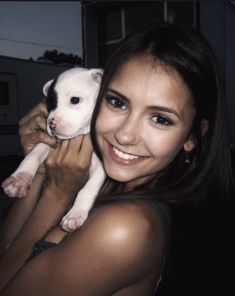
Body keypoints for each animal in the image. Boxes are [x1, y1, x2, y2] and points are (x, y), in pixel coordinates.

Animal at [0, 67, 105, 231]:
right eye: (50, 103)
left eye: (75, 100)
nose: (52, 124)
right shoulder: (49, 142)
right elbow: (32, 156)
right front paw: (19, 179)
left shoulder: (102, 163)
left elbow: (88, 187)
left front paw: (75, 214)